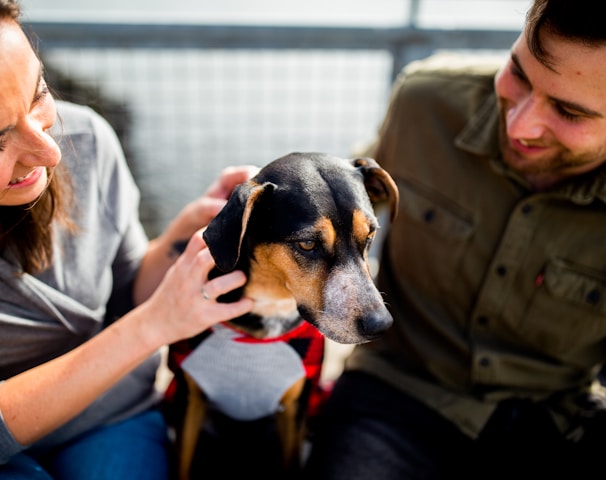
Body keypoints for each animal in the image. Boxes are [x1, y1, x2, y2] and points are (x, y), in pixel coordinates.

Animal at [169, 152, 402, 478]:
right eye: (307, 244)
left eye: (369, 236)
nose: (380, 324)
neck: (273, 305)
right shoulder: (188, 402)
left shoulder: (296, 410)